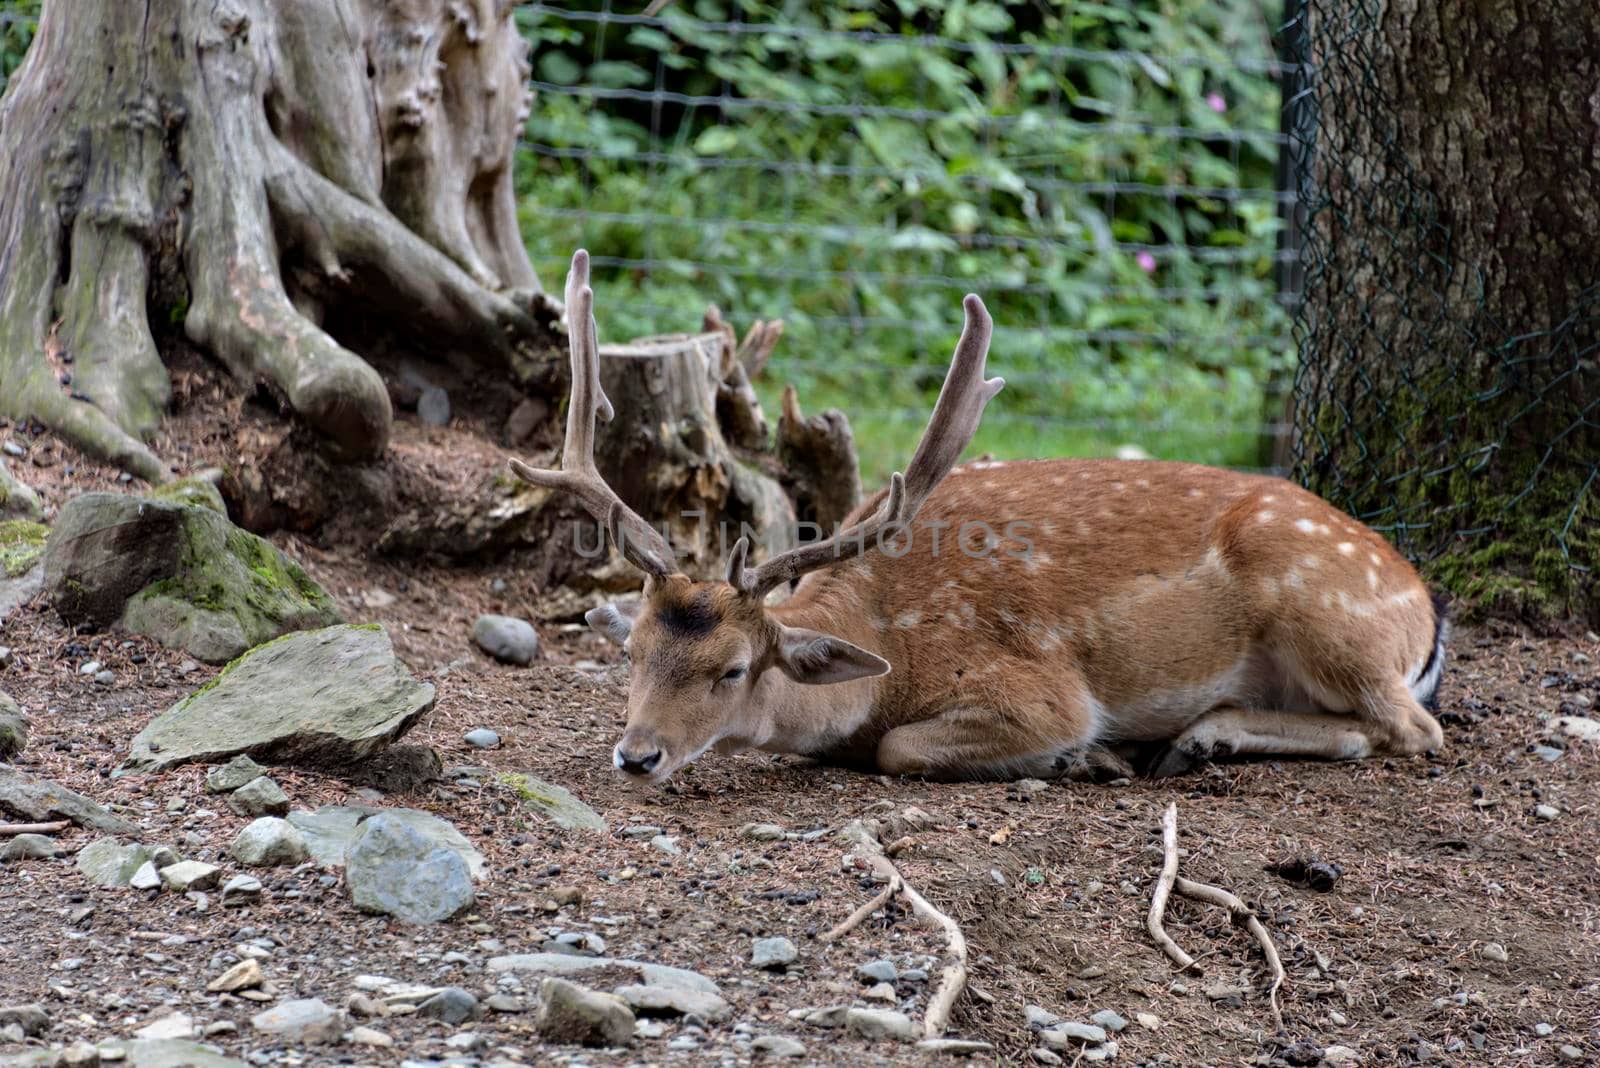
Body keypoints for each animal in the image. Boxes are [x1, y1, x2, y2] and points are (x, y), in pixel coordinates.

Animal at [512, 251, 1452, 783]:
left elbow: (899, 750)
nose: (637, 755)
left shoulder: (1038, 688)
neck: (885, 646)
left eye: (733, 669)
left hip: (1326, 613)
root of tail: (1422, 605)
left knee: (1411, 728)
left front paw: (1083, 755)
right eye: (630, 653)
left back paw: (1196, 739)